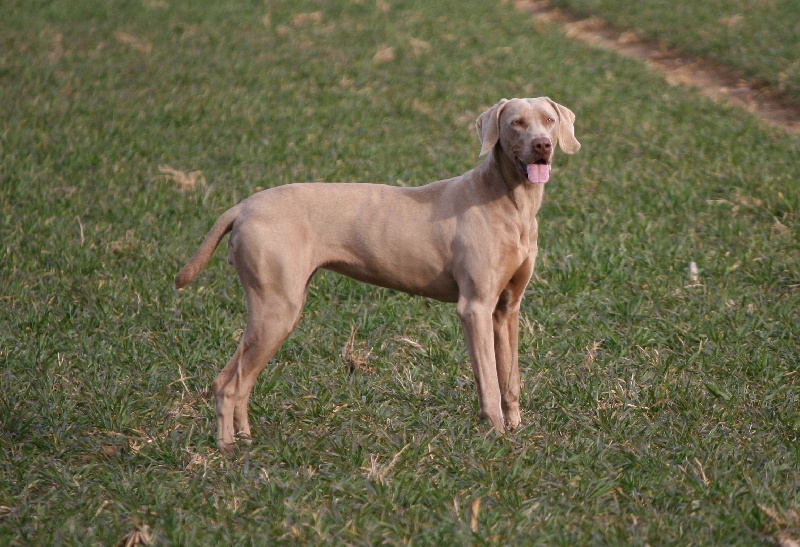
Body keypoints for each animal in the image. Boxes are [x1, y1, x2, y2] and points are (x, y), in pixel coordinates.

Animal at [178, 98, 580, 454]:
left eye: (549, 120)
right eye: (516, 123)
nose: (542, 145)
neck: (509, 201)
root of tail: (243, 206)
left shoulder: (506, 310)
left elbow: (510, 380)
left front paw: (516, 431)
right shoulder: (475, 308)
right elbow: (489, 383)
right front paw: (495, 436)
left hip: (272, 311)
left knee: (232, 380)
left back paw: (244, 440)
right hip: (277, 310)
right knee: (231, 383)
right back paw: (228, 449)